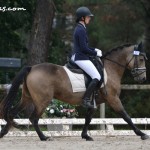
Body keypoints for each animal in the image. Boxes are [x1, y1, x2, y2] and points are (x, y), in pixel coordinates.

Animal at [0, 43, 148, 141]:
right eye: (141, 59)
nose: (142, 79)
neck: (110, 69)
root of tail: (31, 68)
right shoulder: (113, 98)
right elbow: (126, 116)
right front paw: (141, 134)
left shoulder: (94, 101)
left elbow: (88, 118)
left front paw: (85, 136)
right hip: (42, 100)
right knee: (33, 118)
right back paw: (44, 137)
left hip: (27, 97)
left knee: (12, 113)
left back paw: (3, 133)